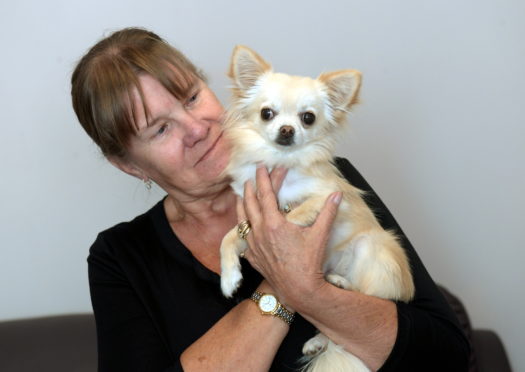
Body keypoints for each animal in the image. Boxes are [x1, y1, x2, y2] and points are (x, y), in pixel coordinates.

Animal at [218, 45, 414, 372]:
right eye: (266, 113)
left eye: (307, 118)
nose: (287, 129)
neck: (280, 162)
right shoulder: (250, 205)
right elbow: (228, 238)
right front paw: (229, 277)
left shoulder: (328, 197)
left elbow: (292, 216)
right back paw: (319, 339)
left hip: (369, 247)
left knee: (368, 299)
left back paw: (341, 285)